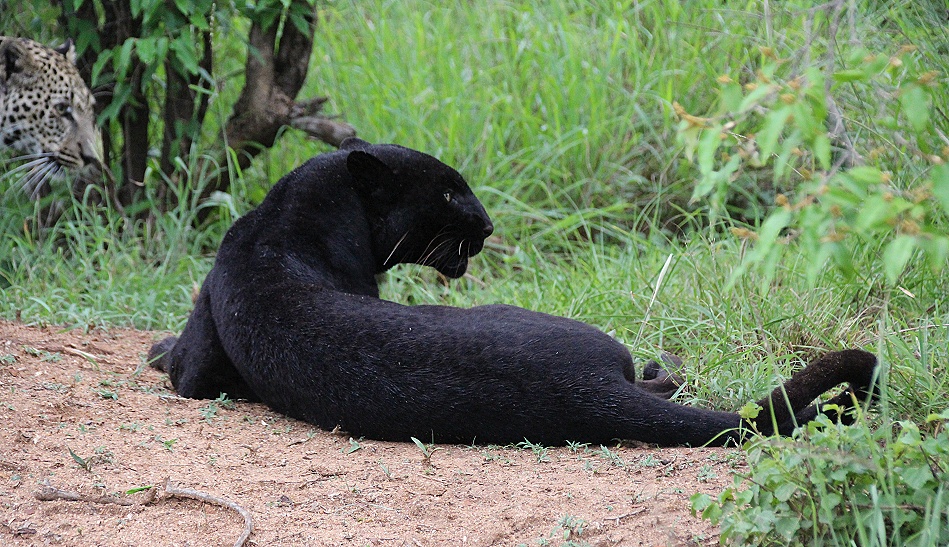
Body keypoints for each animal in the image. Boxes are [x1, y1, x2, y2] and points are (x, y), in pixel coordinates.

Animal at [150, 138, 878, 447]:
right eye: (448, 192)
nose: (489, 224)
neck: (288, 219)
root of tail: (581, 391)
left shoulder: (199, 361)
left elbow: (176, 358)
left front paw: (153, 347)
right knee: (662, 382)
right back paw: (661, 363)